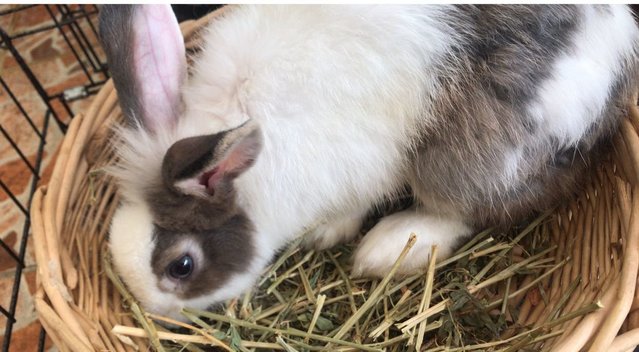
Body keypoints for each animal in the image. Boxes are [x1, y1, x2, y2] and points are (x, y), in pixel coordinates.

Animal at [99, 4, 639, 320]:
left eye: (182, 266)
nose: (157, 312)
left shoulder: (362, 168)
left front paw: (331, 231)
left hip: (471, 158)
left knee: (474, 208)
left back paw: (392, 246)